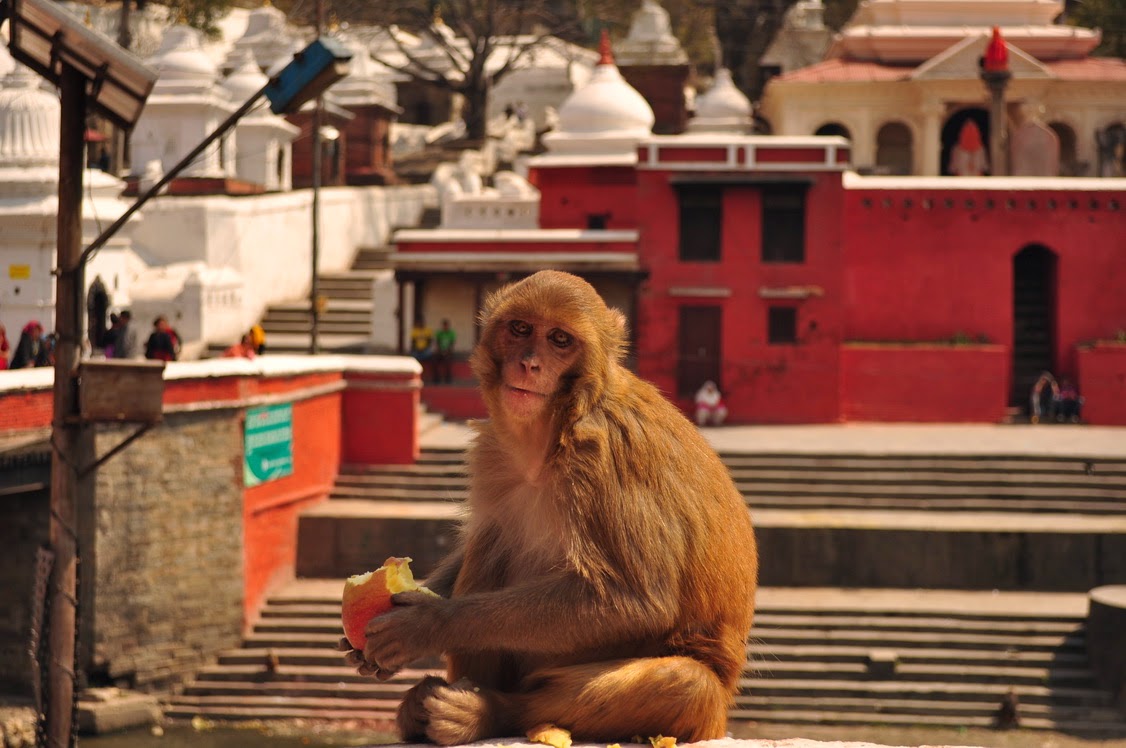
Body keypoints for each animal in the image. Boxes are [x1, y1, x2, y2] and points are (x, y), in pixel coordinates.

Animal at [339, 270, 758, 745]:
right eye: (521, 329)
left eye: (560, 339)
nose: (529, 364)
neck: (557, 425)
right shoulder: (496, 453)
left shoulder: (605, 455)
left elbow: (636, 598)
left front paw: (428, 623)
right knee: (495, 537)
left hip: (700, 708)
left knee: (686, 684)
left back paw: (487, 711)